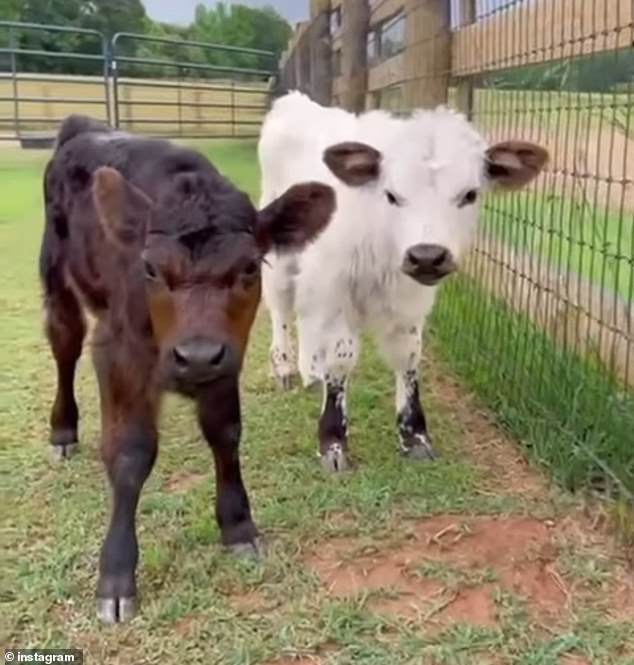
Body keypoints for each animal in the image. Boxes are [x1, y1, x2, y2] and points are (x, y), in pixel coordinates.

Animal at [260, 91, 544, 470]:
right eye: (391, 195)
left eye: (470, 194)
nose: (427, 255)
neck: (382, 243)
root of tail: (294, 101)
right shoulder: (337, 290)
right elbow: (342, 356)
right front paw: (333, 441)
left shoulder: (408, 298)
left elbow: (408, 355)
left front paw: (415, 435)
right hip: (282, 255)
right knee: (280, 305)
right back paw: (284, 367)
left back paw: (312, 372)